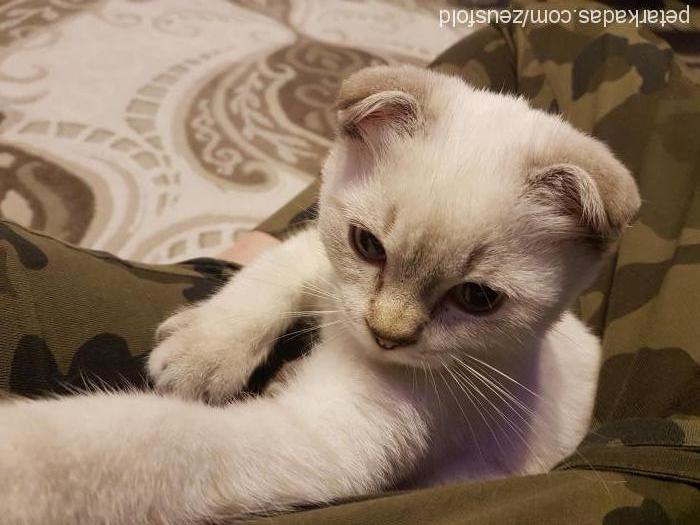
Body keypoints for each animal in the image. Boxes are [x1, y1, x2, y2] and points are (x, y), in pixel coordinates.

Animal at [0, 66, 640, 524]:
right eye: (368, 246)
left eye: (477, 299)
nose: (387, 333)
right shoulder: (323, 261)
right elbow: (277, 267)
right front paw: (203, 352)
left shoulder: (329, 442)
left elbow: (145, 441)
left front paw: (21, 466)